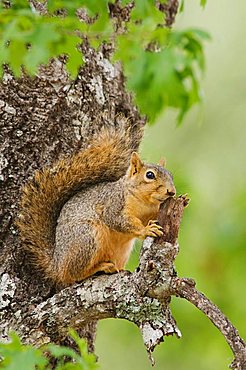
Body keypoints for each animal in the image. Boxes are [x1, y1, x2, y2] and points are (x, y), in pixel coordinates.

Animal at [16, 121, 175, 286]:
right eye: (149, 175)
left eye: (171, 175)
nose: (171, 192)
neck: (144, 202)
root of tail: (56, 264)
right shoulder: (113, 203)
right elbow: (117, 220)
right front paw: (146, 230)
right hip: (88, 237)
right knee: (73, 274)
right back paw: (102, 267)